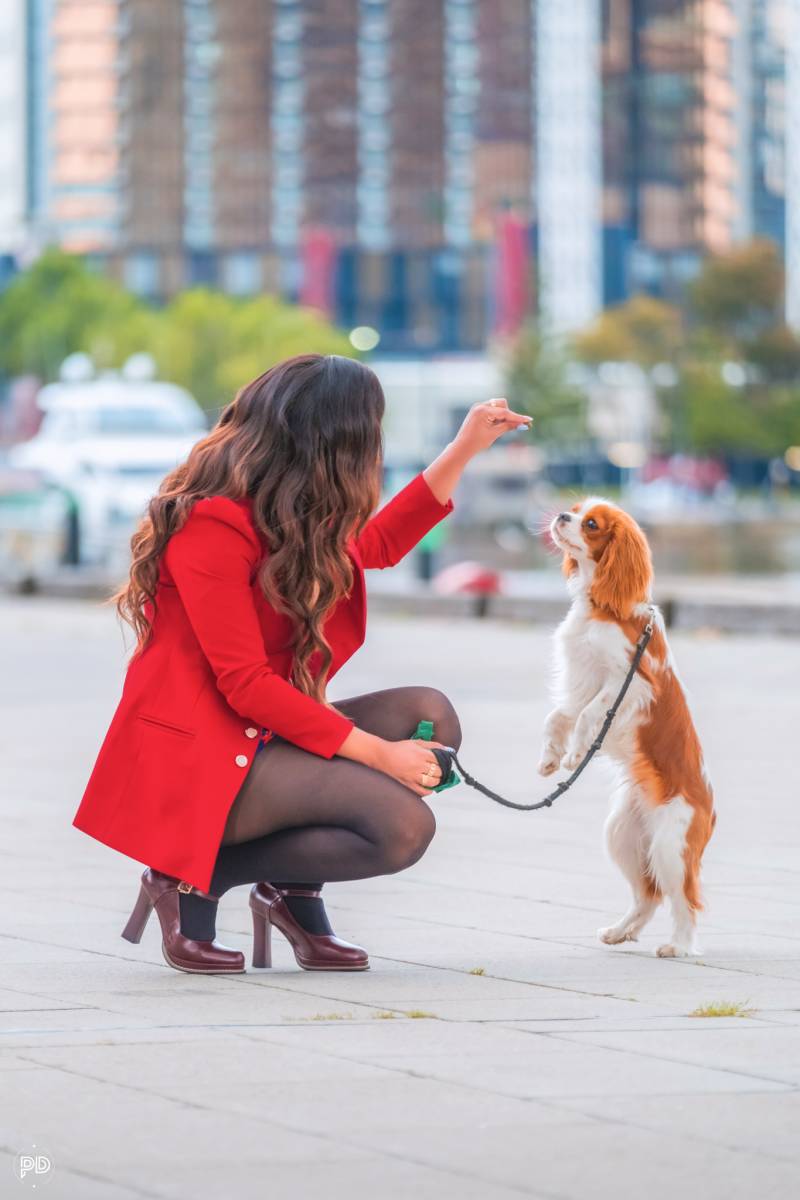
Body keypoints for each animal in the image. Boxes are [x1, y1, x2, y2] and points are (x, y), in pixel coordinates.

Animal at [542, 496, 714, 955]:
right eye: (573, 509)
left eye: (591, 524)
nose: (560, 516)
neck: (602, 606)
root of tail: (712, 811)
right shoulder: (584, 677)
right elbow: (559, 715)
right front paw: (550, 758)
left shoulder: (629, 681)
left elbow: (588, 715)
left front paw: (574, 754)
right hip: (622, 835)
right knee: (648, 897)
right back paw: (621, 931)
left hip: (670, 845)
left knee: (685, 899)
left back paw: (679, 946)